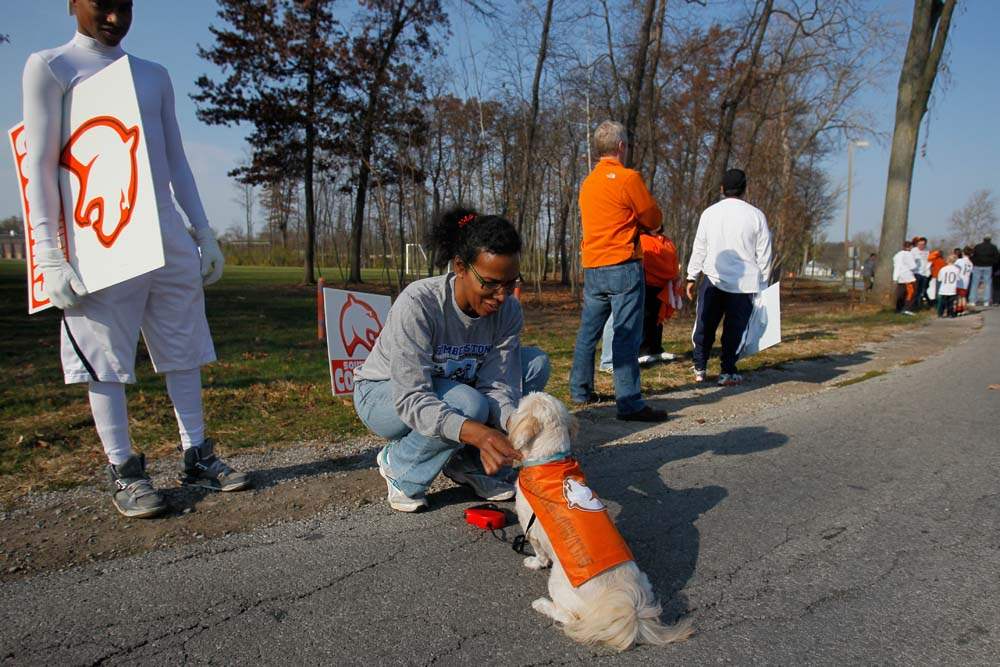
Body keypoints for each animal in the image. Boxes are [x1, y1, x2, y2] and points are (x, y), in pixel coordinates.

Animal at [508, 392, 692, 651]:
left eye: (519, 406)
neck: (550, 460)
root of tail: (624, 603)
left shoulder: (529, 525)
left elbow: (539, 552)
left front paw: (534, 562)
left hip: (558, 583)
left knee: (568, 617)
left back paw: (543, 605)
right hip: (644, 581)